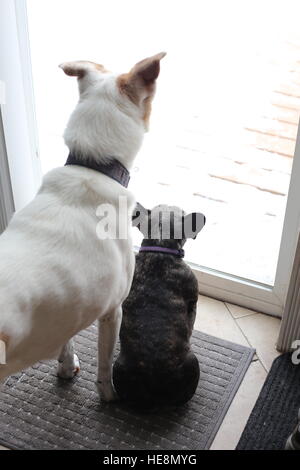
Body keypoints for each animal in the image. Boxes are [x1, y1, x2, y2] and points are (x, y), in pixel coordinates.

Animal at [0, 54, 166, 400]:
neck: (94, 166)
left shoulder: (68, 306)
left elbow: (66, 337)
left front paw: (65, 366)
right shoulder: (113, 310)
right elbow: (104, 363)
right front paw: (109, 397)